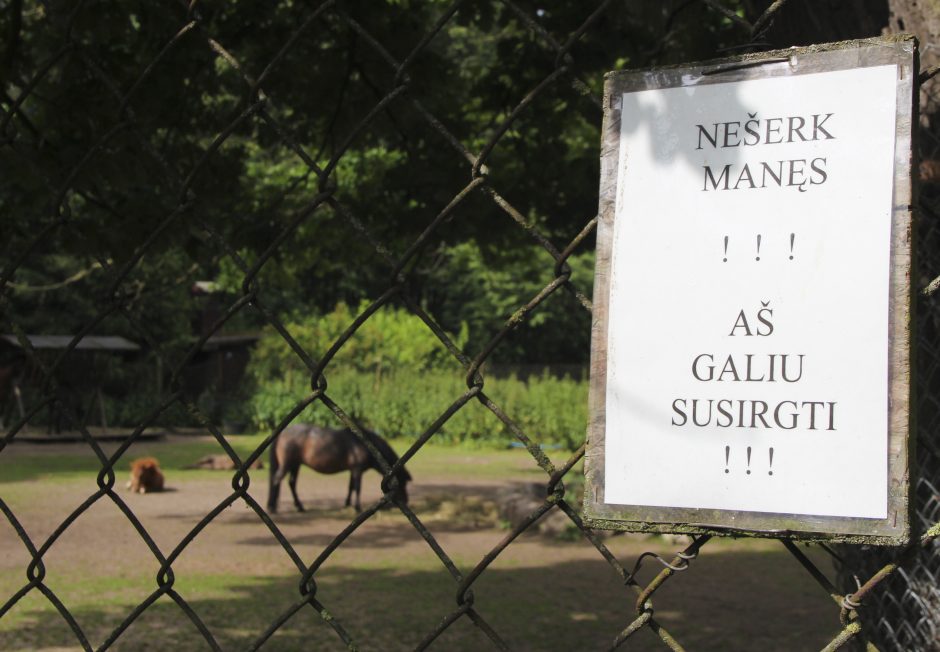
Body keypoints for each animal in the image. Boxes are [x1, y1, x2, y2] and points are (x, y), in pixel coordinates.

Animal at [266, 422, 410, 516]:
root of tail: (282, 433)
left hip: (295, 465)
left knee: (291, 483)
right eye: (402, 483)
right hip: (288, 464)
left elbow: (350, 487)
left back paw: (299, 507)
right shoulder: (357, 470)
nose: (406, 501)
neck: (363, 444)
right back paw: (273, 508)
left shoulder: (353, 470)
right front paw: (357, 507)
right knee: (276, 480)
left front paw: (347, 504)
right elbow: (357, 488)